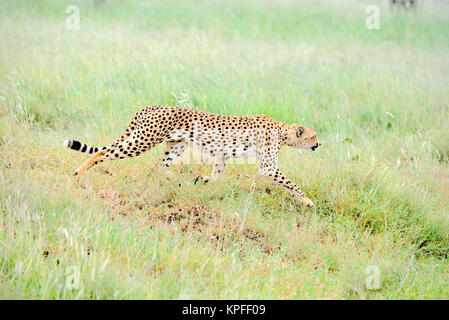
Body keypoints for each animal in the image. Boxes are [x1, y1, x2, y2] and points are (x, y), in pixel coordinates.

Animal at [65, 106, 320, 208]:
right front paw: (307, 201)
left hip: (174, 144)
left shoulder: (222, 155)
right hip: (143, 141)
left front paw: (202, 180)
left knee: (161, 166)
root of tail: (151, 106)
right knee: (102, 152)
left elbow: (216, 175)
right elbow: (291, 184)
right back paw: (78, 173)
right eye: (313, 136)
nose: (319, 144)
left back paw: (177, 182)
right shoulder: (268, 167)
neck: (283, 131)